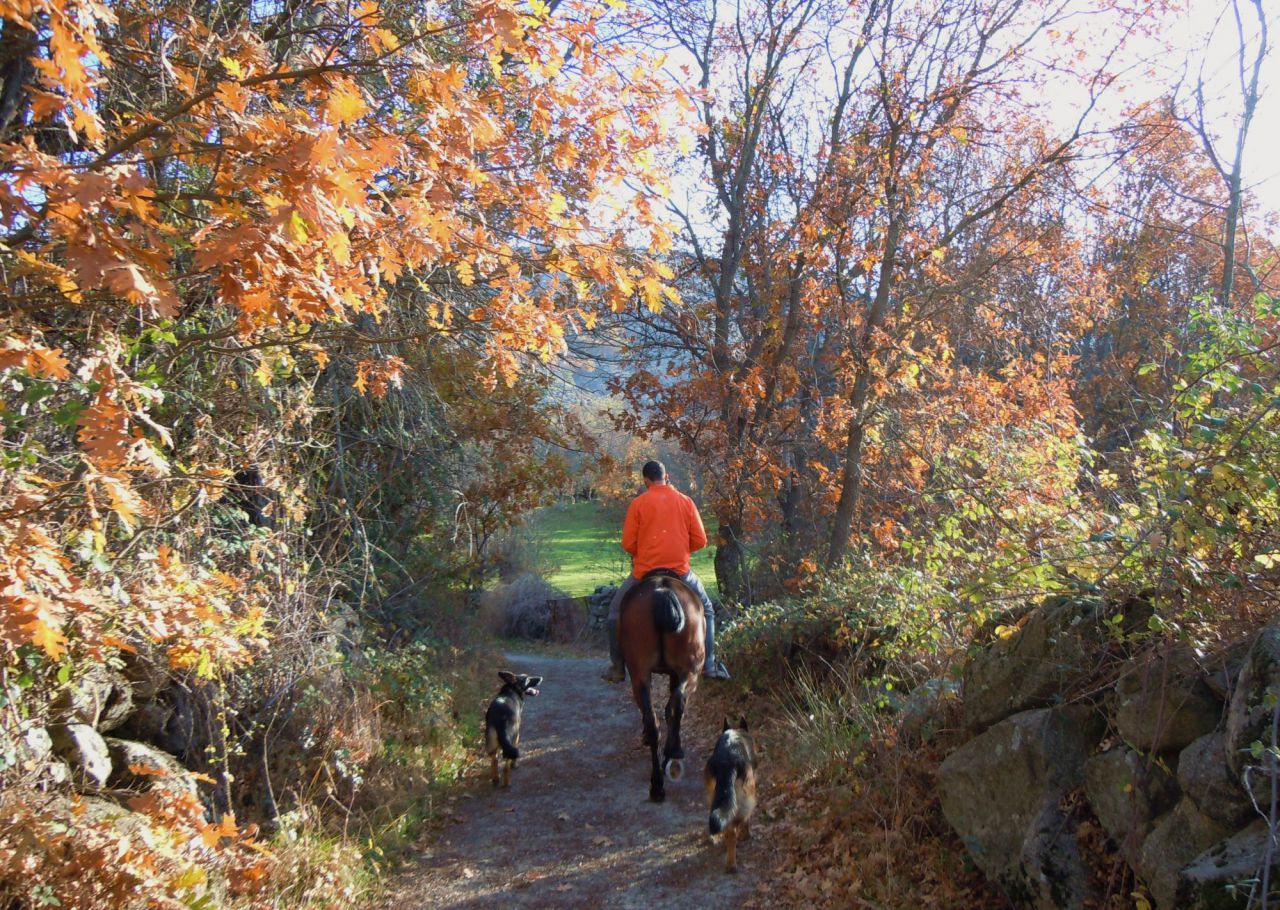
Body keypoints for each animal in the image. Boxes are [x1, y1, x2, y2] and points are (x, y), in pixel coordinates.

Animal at [614, 568, 706, 803]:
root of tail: (663, 591)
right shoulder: (675, 673)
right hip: (688, 671)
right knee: (675, 708)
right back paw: (666, 768)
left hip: (641, 675)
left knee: (656, 717)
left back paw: (658, 780)